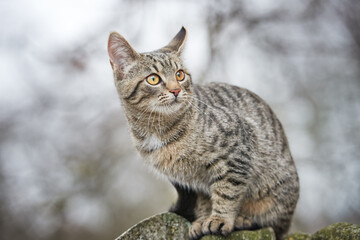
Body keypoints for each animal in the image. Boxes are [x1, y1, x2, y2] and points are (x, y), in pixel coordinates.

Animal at [108, 27, 300, 239]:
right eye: (153, 79)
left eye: (180, 75)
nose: (176, 90)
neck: (158, 129)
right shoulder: (193, 183)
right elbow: (205, 201)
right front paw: (203, 219)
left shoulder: (237, 149)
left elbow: (227, 191)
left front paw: (220, 219)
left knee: (274, 224)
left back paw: (244, 219)